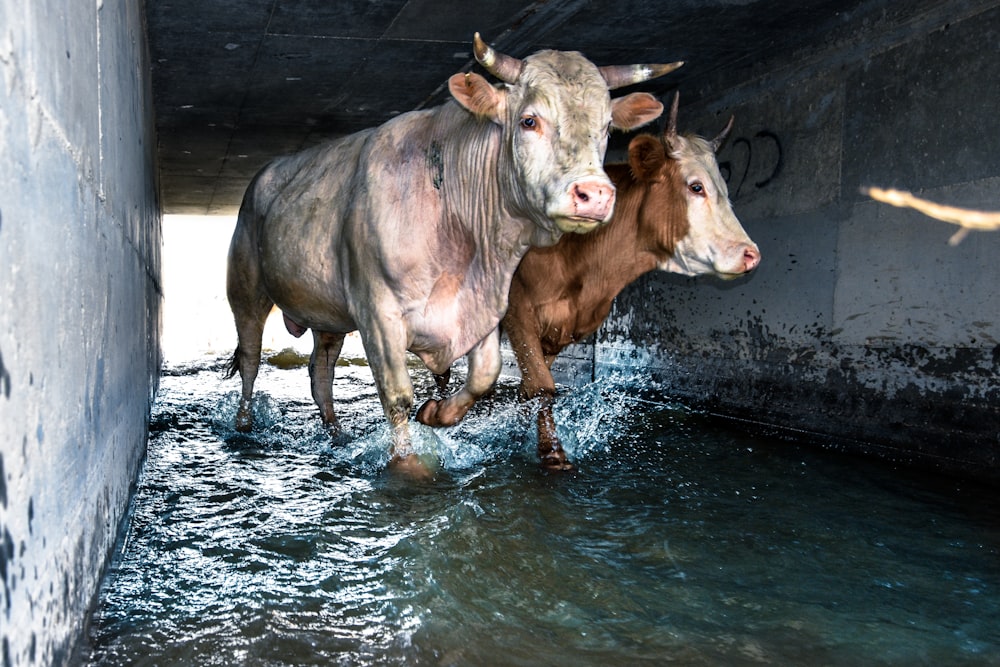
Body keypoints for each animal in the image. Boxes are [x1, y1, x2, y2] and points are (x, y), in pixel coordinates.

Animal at [430, 92, 756, 470]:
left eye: (725, 189)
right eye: (696, 186)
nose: (751, 254)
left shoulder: (560, 329)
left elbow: (532, 388)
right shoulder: (519, 308)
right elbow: (542, 386)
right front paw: (552, 453)